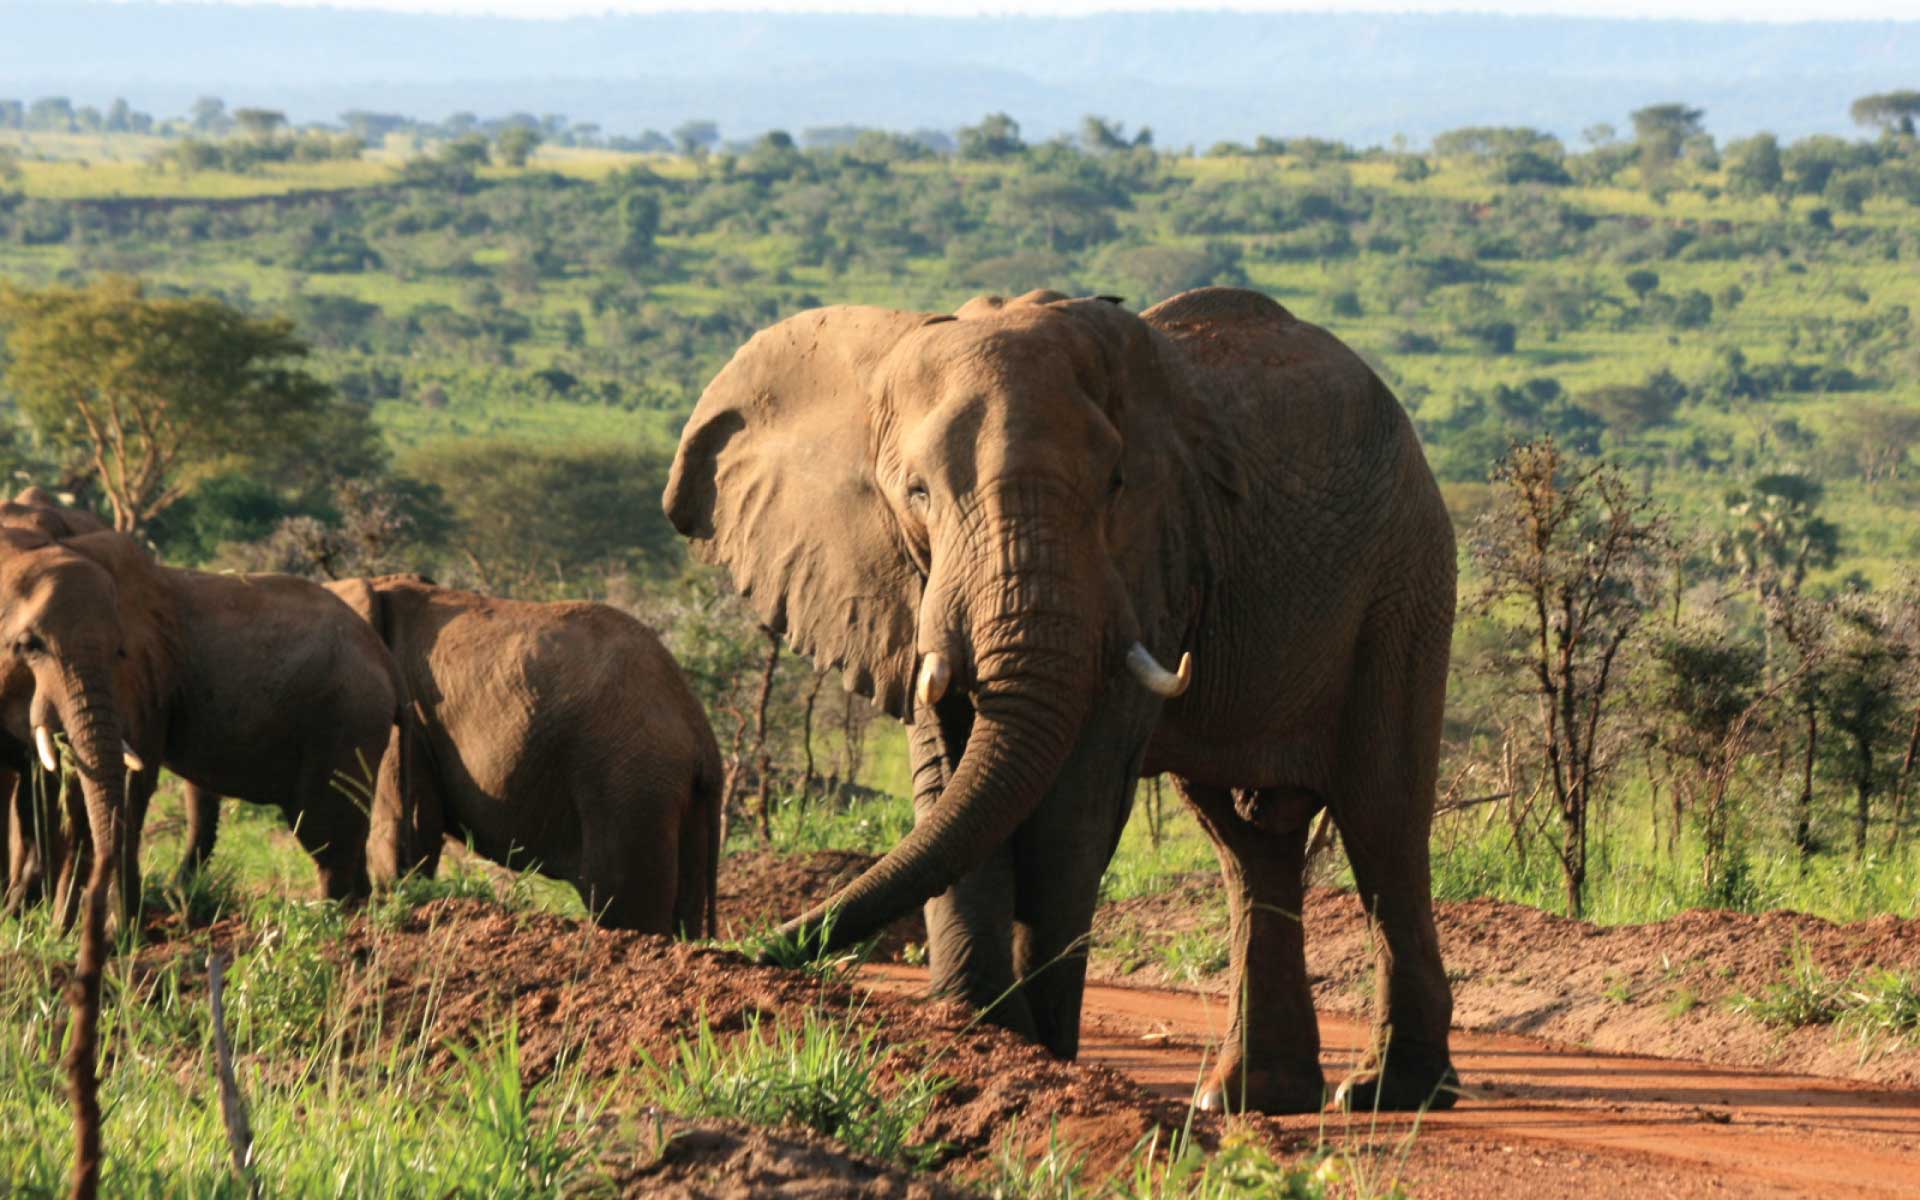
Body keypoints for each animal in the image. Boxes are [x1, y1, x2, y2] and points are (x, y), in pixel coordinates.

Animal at [0, 518, 416, 921]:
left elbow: (129, 777)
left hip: (348, 719)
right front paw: (58, 929)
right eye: (27, 646)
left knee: (323, 832)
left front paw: (117, 933)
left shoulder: (144, 679)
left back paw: (332, 916)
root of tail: (387, 661)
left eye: (119, 650)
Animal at [183, 572, 721, 936]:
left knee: (621, 904)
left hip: (629, 783)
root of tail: (703, 739)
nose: (186, 901)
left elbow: (403, 837)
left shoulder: (404, 719)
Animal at [668, 286, 1459, 1105]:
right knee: (1247, 841)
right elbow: (946, 768)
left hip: (1406, 577)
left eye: (1114, 486)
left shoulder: (1151, 560)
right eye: (916, 494)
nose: (734, 950)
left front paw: (1034, 1044)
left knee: (1382, 818)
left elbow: (1077, 792)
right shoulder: (908, 582)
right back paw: (1248, 1097)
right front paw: (980, 1030)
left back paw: (1391, 1092)